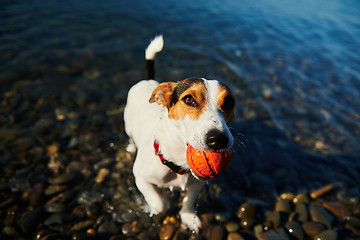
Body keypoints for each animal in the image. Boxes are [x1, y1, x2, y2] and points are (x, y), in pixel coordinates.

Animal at [124, 34, 236, 232]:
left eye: (229, 102)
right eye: (189, 99)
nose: (218, 139)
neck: (177, 162)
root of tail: (147, 81)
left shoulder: (197, 183)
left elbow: (189, 201)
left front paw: (188, 217)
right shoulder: (140, 177)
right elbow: (159, 203)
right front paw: (160, 205)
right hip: (127, 125)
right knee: (130, 137)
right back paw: (131, 147)